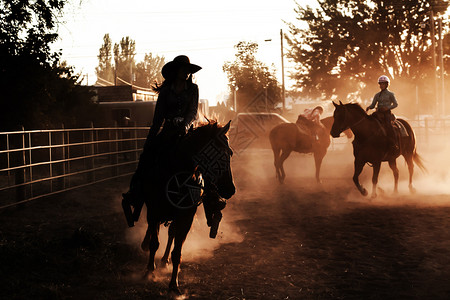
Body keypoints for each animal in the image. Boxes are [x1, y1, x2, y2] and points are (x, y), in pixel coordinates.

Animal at [140, 120, 236, 294]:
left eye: (229, 153)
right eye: (214, 153)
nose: (230, 189)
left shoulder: (186, 217)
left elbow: (177, 251)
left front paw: (174, 284)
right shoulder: (153, 211)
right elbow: (154, 243)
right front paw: (149, 271)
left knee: (171, 234)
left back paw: (165, 259)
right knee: (154, 231)